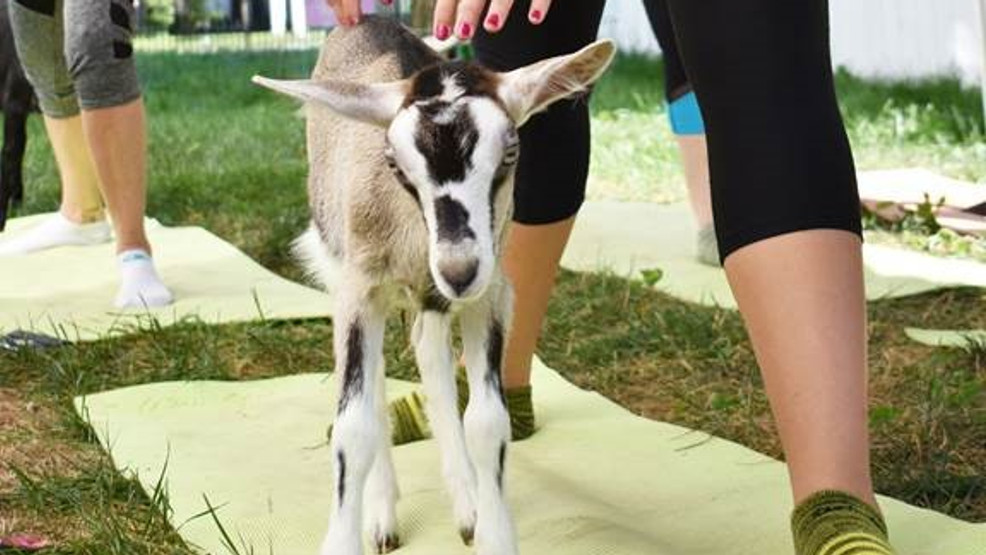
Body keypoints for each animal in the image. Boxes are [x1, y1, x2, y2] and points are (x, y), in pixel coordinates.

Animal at [253, 15, 614, 555]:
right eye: (394, 162)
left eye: (511, 150)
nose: (458, 268)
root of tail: (369, 19)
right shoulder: (360, 291)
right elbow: (354, 425)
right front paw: (351, 534)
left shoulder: (489, 295)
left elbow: (487, 421)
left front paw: (491, 531)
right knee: (378, 381)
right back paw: (383, 514)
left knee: (430, 354)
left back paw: (465, 505)